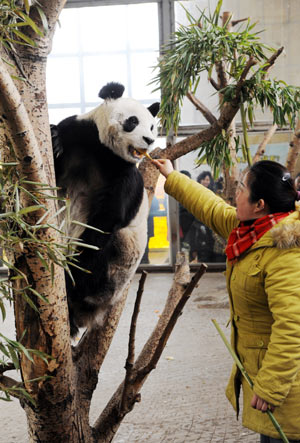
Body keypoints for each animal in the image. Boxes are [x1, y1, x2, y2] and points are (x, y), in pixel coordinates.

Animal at [51, 82, 159, 336]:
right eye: (133, 121)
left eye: (152, 126)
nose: (149, 140)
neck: (103, 151)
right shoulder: (79, 135)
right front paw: (53, 138)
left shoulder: (125, 175)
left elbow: (107, 218)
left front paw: (74, 274)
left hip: (116, 271)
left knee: (106, 247)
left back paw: (73, 288)